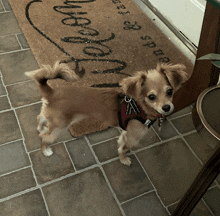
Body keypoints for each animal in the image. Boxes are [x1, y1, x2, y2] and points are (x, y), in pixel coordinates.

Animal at [25, 61, 187, 166]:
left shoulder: (126, 132)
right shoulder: (133, 138)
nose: (166, 107)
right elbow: (124, 149)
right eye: (151, 97)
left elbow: (121, 142)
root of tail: (52, 92)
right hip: (59, 127)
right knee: (44, 137)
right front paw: (123, 159)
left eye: (169, 91)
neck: (139, 107)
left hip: (51, 116)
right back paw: (45, 150)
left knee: (40, 117)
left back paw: (40, 127)